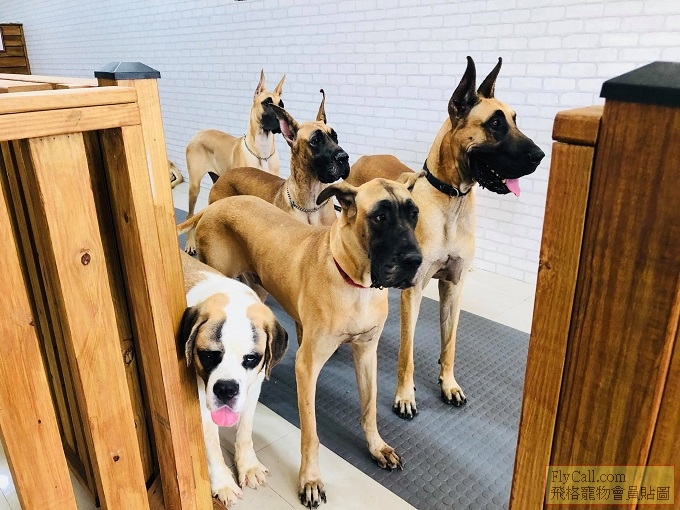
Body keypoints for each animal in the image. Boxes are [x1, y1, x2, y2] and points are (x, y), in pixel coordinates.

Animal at [178, 251, 288, 507]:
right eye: (208, 355)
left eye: (251, 359)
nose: (226, 389)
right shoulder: (201, 402)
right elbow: (211, 446)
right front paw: (223, 483)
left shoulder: (253, 388)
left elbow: (245, 430)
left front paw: (249, 466)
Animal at [184, 69, 286, 255]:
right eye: (266, 103)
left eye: (281, 104)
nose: (282, 121)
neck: (262, 152)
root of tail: (198, 133)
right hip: (194, 186)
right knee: (190, 215)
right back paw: (190, 243)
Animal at [347, 56, 545, 419]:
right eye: (495, 123)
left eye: (514, 119)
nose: (539, 155)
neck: (451, 199)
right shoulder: (414, 290)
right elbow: (407, 352)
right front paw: (405, 395)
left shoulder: (454, 285)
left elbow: (449, 343)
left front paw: (448, 383)